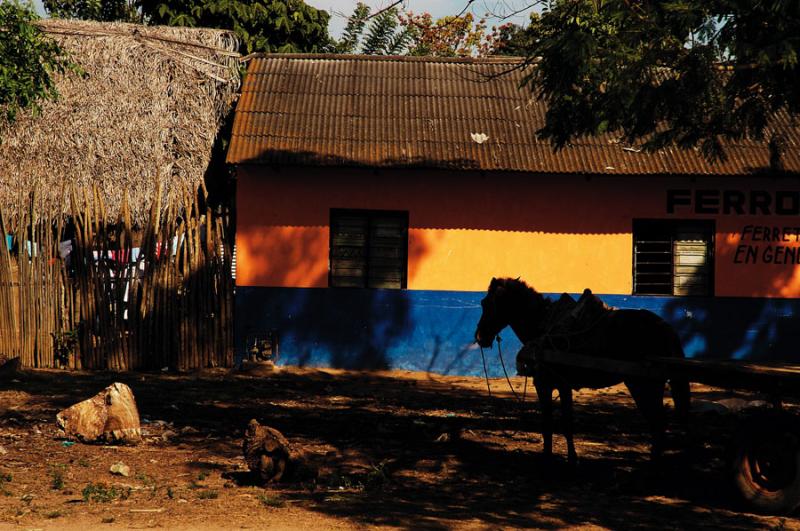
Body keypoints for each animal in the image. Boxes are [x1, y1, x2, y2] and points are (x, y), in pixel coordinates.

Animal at [472, 278, 692, 466]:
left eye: (487, 303)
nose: (480, 336)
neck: (544, 324)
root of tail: (665, 327)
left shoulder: (544, 384)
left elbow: (548, 423)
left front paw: (548, 458)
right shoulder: (563, 385)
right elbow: (567, 422)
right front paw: (572, 458)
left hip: (643, 384)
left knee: (658, 422)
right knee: (658, 423)